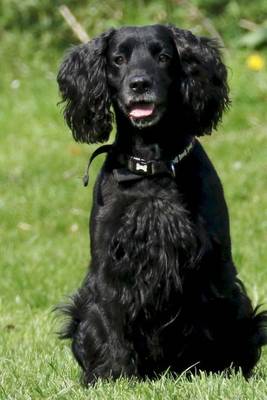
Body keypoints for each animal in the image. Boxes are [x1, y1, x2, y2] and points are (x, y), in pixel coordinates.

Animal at [57, 25, 267, 384]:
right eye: (118, 59)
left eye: (164, 56)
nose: (139, 83)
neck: (152, 165)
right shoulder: (110, 263)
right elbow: (111, 318)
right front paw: (113, 376)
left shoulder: (209, 264)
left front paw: (208, 373)